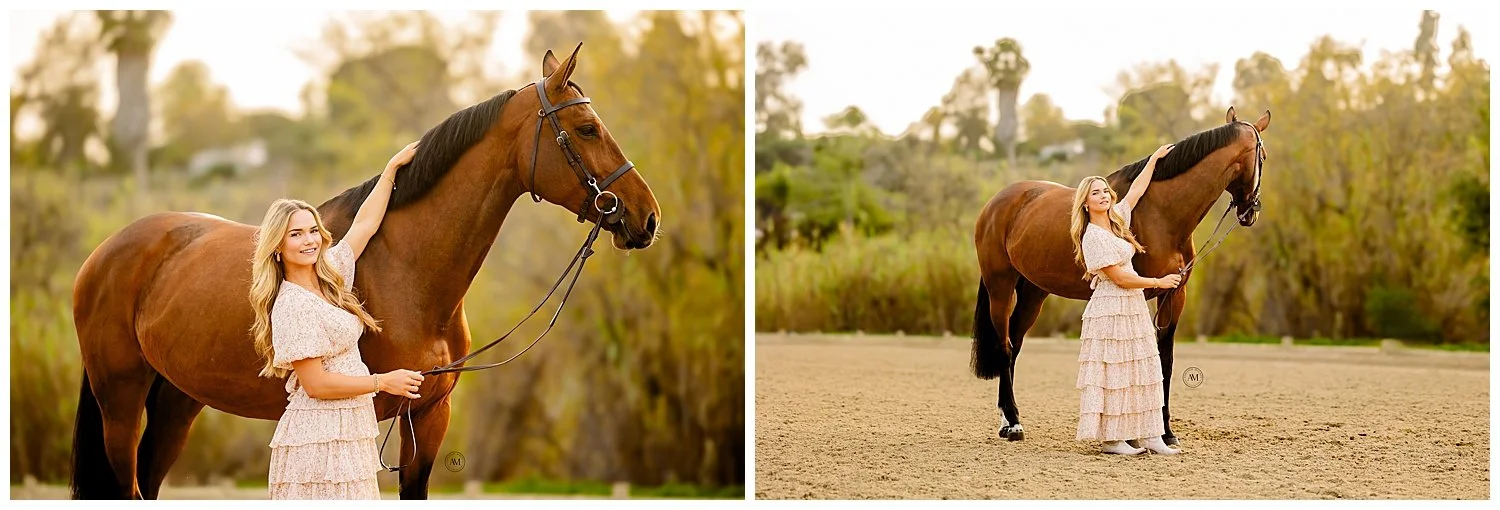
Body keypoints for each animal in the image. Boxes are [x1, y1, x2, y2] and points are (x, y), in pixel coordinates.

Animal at [69, 43, 661, 499]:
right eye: (587, 129)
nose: (647, 217)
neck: (407, 270)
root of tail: (105, 253)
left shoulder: (429, 416)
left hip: (176, 401)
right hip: (120, 402)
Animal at [970, 106, 1269, 445]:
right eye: (1263, 156)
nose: (1251, 212)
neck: (1160, 211)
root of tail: (997, 202)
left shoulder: (1174, 294)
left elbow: (1165, 360)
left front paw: (1166, 432)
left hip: (1034, 292)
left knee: (1014, 345)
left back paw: (1008, 420)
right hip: (1000, 288)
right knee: (1004, 346)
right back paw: (1013, 424)